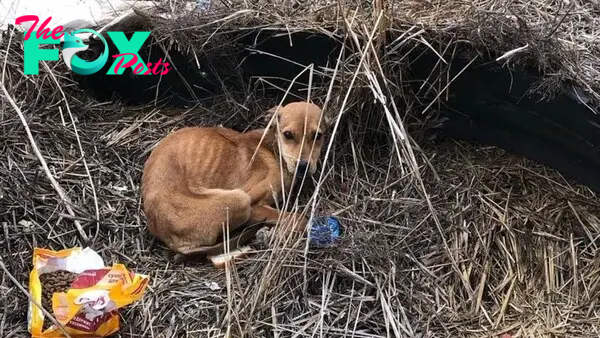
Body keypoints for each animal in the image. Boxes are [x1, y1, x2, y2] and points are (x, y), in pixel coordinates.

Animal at [141, 101, 328, 262]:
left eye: (317, 136)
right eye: (288, 135)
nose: (303, 166)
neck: (274, 149)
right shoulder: (254, 205)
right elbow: (300, 219)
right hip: (239, 199)